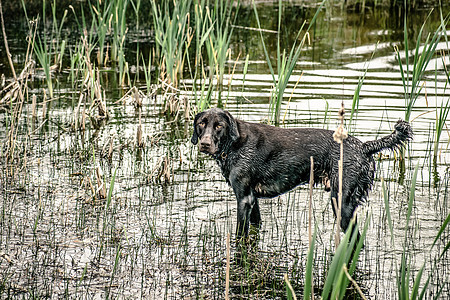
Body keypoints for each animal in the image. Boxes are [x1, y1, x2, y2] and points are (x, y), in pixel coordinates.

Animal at [190, 108, 412, 241]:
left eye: (219, 126)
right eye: (201, 123)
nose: (205, 144)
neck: (234, 144)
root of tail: (365, 146)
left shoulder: (244, 199)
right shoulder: (252, 199)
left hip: (342, 203)